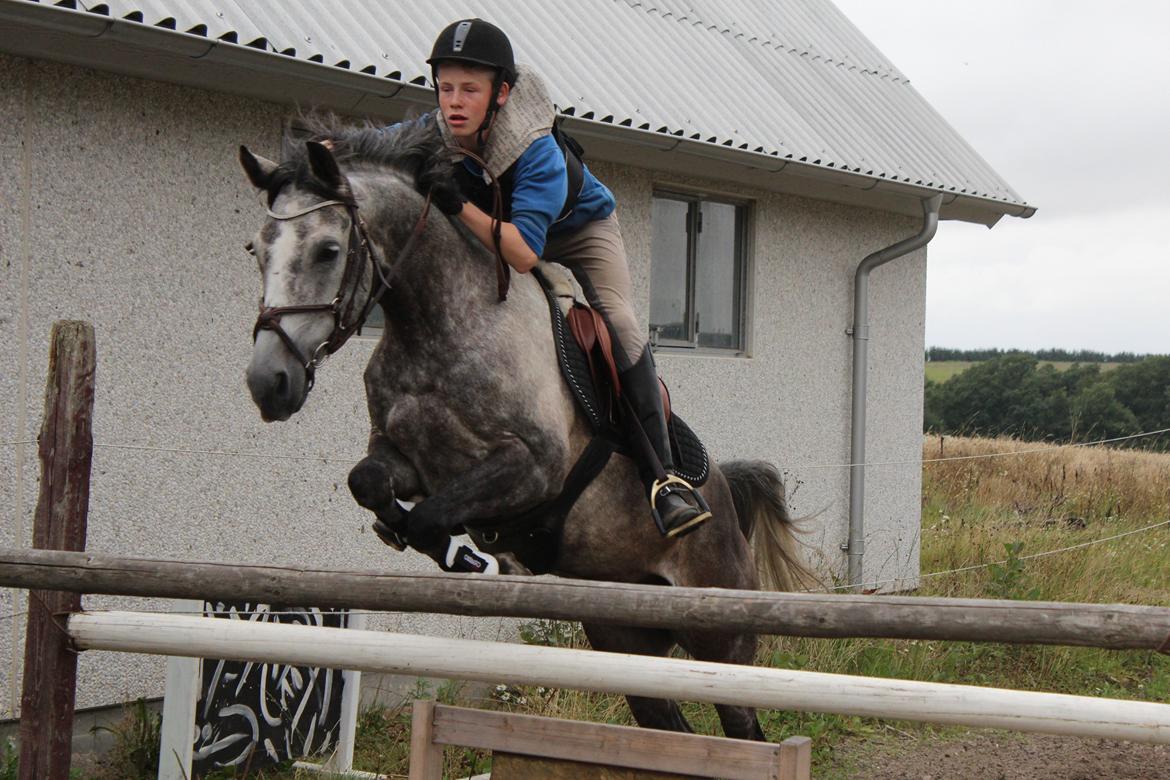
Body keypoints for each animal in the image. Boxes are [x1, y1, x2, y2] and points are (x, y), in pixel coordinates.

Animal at [237, 117, 804, 743]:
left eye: (329, 250)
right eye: (256, 250)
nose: (269, 383)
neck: (440, 320)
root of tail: (724, 493)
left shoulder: (535, 468)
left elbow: (436, 514)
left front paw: (470, 556)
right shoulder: (409, 460)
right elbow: (368, 481)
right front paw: (426, 538)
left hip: (720, 637)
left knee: (744, 728)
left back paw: (675, 502)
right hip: (624, 637)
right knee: (666, 724)